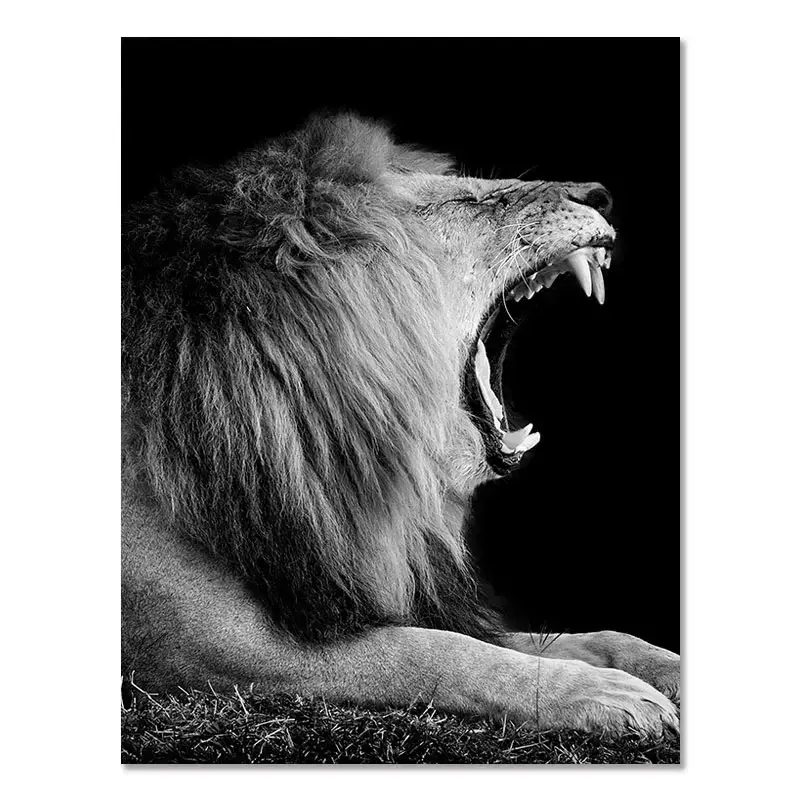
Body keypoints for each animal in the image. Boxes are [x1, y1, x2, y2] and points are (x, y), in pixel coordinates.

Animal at [122, 112, 679, 737]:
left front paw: (659, 665)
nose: (599, 195)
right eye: (466, 201)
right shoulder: (213, 646)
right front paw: (603, 694)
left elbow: (563, 636)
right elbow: (436, 652)